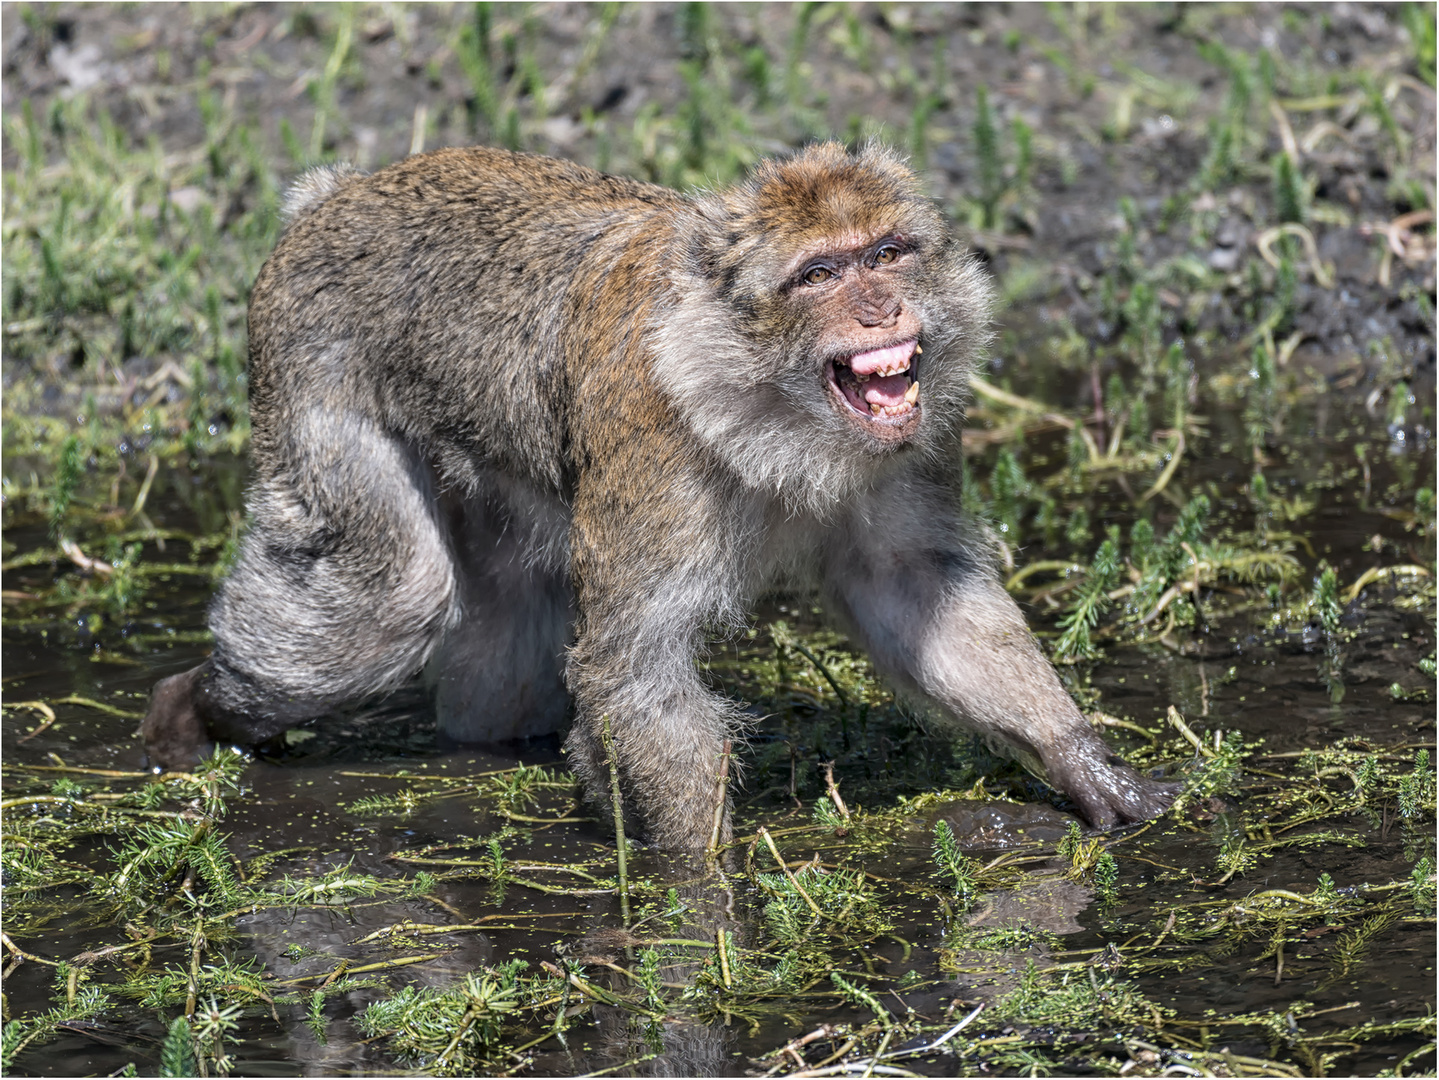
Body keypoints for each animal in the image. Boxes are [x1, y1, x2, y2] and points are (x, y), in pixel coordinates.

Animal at [143, 143, 1179, 851]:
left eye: (886, 253)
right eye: (820, 274)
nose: (881, 308)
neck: (766, 404)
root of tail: (335, 195)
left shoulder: (909, 448)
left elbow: (915, 589)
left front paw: (1082, 763)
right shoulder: (655, 449)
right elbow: (638, 672)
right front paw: (700, 897)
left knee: (502, 677)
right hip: (306, 362)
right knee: (387, 602)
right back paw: (194, 710)